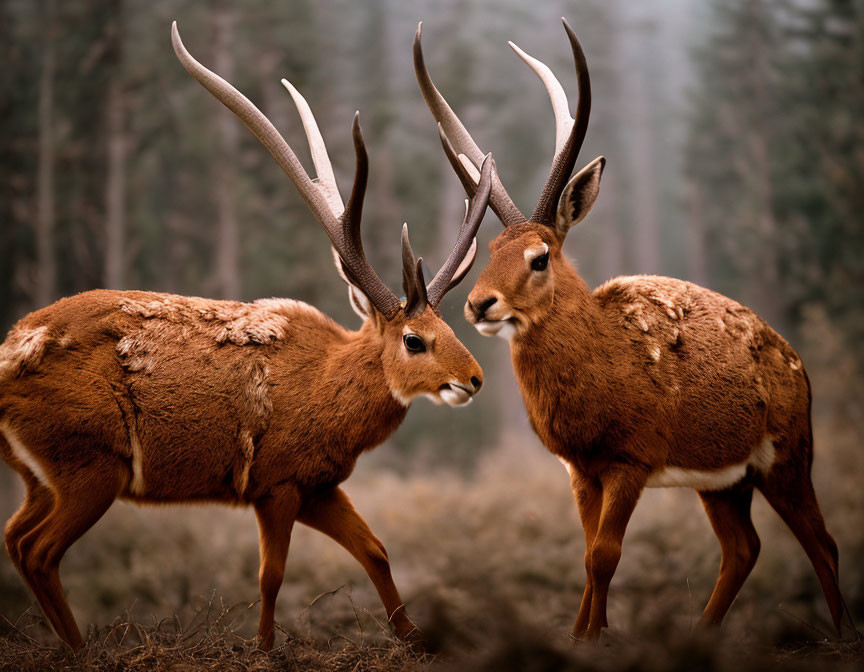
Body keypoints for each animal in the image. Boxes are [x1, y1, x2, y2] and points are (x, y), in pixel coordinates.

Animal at [0, 22, 492, 652]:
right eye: (414, 340)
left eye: (449, 325)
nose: (473, 379)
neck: (330, 402)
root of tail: (8, 360)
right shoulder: (274, 481)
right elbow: (271, 575)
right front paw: (263, 647)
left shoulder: (318, 484)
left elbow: (376, 550)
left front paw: (414, 637)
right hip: (89, 462)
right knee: (39, 550)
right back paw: (81, 649)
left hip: (41, 475)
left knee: (16, 539)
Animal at [412, 18, 844, 640]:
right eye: (489, 250)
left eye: (540, 256)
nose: (477, 304)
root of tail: (799, 365)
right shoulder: (579, 467)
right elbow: (587, 554)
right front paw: (581, 636)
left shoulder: (632, 456)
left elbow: (605, 555)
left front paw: (594, 638)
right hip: (724, 479)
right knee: (744, 547)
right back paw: (703, 633)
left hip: (789, 451)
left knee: (822, 541)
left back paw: (842, 634)